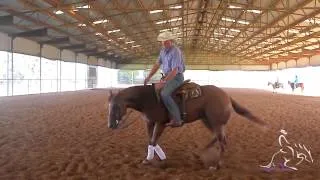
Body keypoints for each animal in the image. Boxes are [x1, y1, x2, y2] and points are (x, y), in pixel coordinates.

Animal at [107, 81, 268, 169]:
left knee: (222, 141)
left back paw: (216, 165)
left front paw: (154, 159)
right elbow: (151, 141)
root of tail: (226, 95)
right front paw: (156, 158)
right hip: (207, 120)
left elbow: (153, 141)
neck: (149, 99)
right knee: (218, 138)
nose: (110, 125)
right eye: (108, 106)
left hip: (215, 122)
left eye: (116, 106)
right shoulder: (149, 122)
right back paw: (201, 152)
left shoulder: (161, 123)